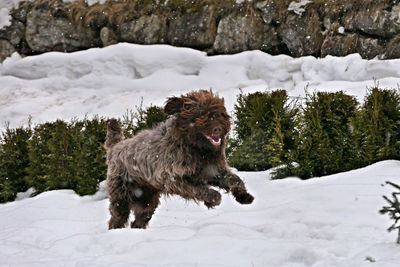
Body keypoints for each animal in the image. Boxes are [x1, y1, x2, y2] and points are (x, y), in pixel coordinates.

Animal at [104, 90, 253, 230]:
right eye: (200, 115)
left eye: (217, 114)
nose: (218, 129)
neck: (197, 148)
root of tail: (115, 147)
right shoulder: (172, 178)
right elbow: (197, 188)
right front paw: (213, 198)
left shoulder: (213, 171)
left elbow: (234, 179)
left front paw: (243, 195)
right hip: (122, 196)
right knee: (117, 218)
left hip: (146, 199)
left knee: (140, 219)